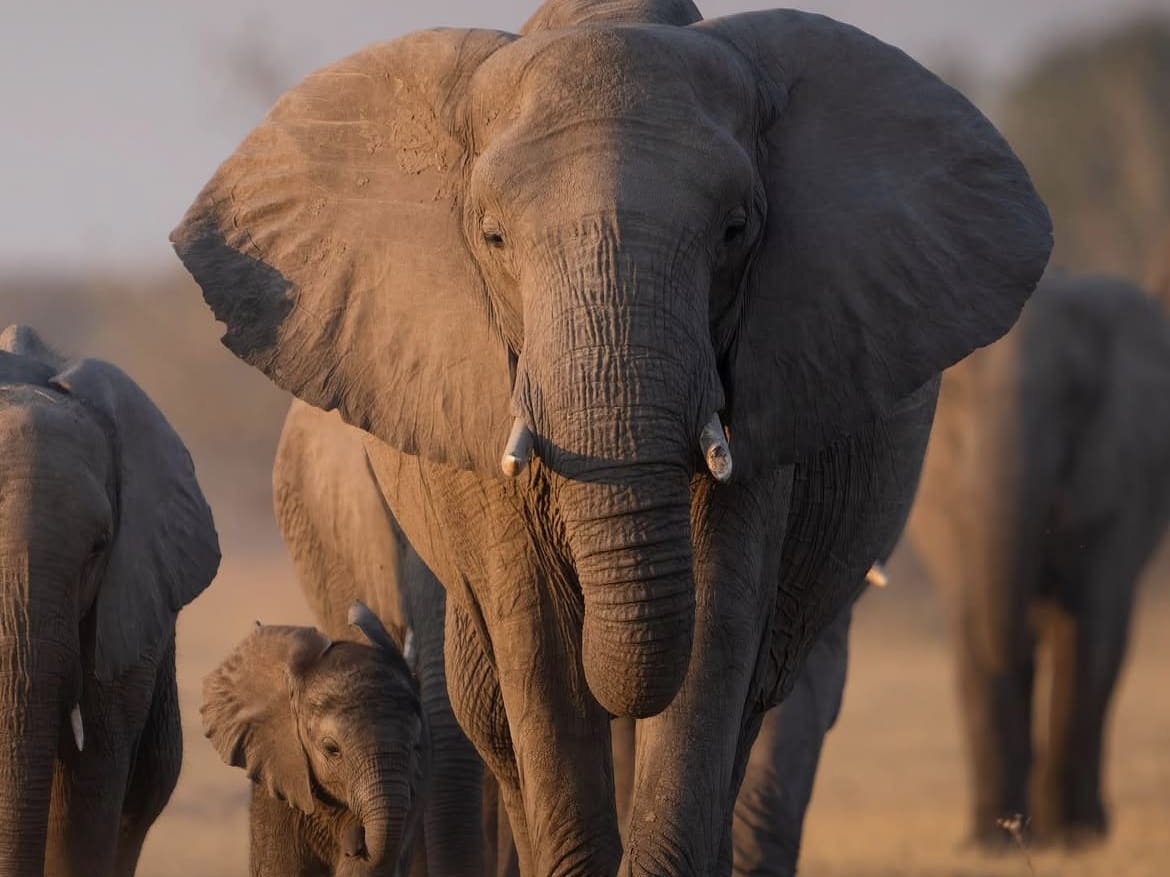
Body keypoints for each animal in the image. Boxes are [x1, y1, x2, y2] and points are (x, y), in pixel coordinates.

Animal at [907, 271, 1170, 846]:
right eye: (956, 394)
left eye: (1075, 395)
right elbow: (973, 627)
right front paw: (990, 844)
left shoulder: (1123, 462)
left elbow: (1091, 630)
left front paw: (1075, 839)